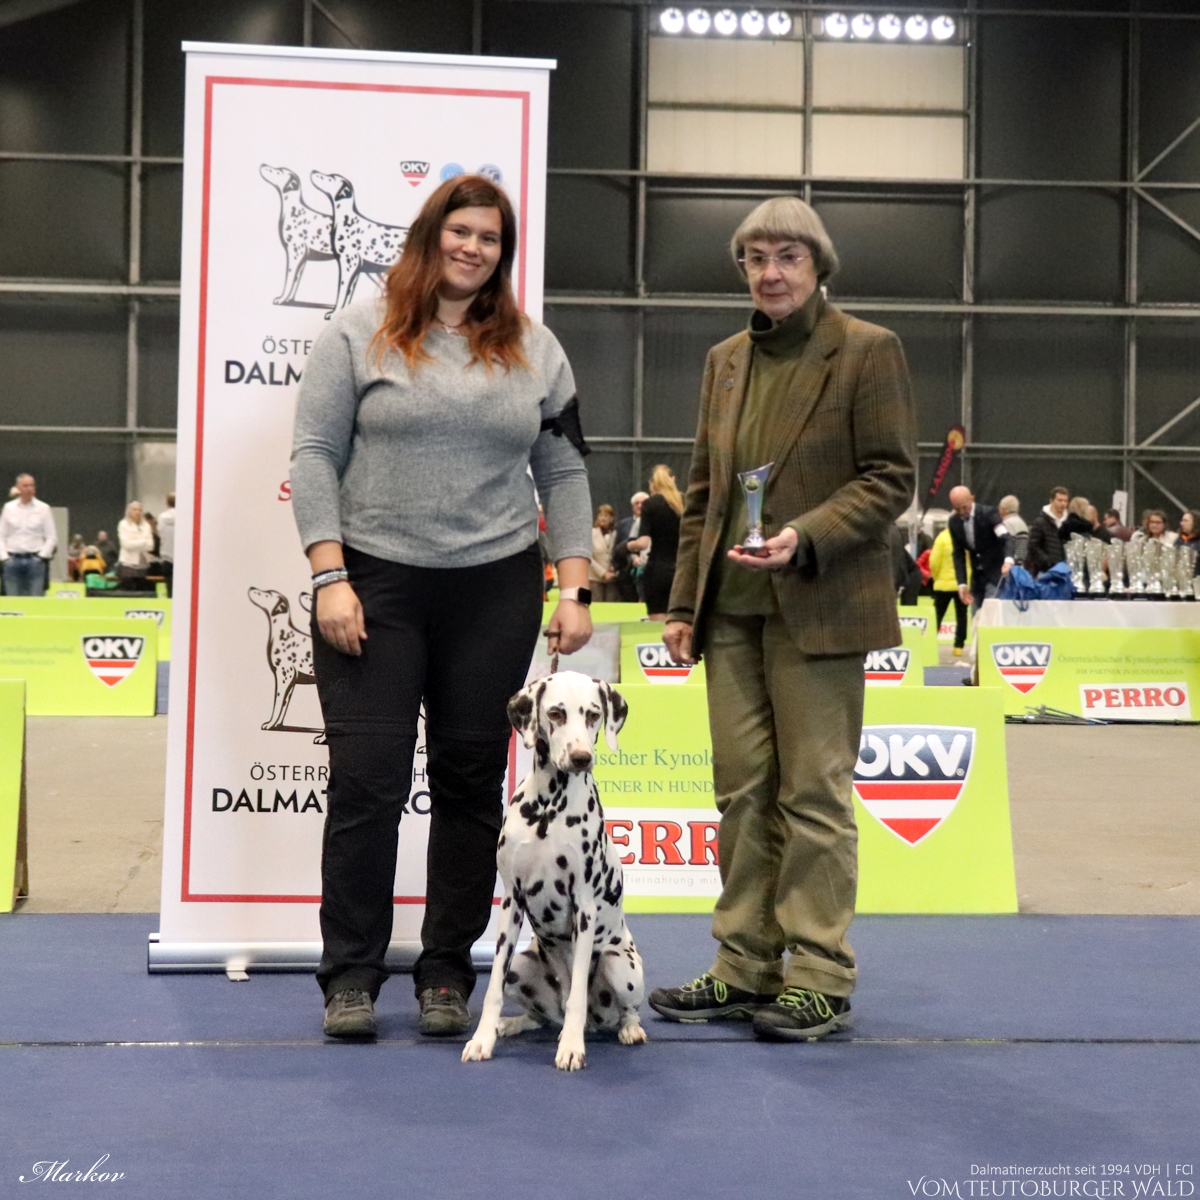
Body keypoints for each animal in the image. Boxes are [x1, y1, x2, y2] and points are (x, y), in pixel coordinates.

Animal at [246, 588, 321, 744]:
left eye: (267, 593)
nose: (251, 588)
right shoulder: (292, 682)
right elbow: (284, 705)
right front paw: (277, 724)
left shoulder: (283, 677)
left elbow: (277, 703)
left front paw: (269, 724)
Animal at [258, 164, 333, 304]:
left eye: (279, 171)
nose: (263, 164)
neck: (294, 211)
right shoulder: (303, 259)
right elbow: (296, 280)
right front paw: (289, 299)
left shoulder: (295, 253)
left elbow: (289, 279)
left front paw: (281, 299)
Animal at [309, 171, 408, 319]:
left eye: (331, 177)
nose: (313, 171)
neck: (347, 220)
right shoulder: (356, 271)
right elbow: (347, 296)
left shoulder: (348, 265)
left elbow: (341, 294)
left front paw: (334, 313)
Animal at [458, 672, 648, 1075]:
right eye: (556, 713)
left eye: (593, 714)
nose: (581, 758)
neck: (548, 807)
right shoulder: (512, 902)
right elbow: (492, 987)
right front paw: (483, 1039)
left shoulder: (584, 909)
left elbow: (576, 995)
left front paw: (571, 1048)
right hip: (522, 966)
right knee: (544, 1016)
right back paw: (511, 1024)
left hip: (619, 966)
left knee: (618, 1010)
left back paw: (625, 1029)